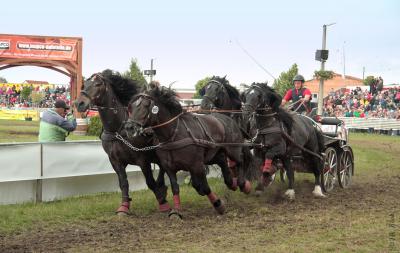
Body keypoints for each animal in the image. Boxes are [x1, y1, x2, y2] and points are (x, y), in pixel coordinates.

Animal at [74, 70, 170, 214]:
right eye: (84, 84)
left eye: (97, 84)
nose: (79, 103)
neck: (118, 130)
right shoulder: (115, 161)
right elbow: (123, 183)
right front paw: (124, 206)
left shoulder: (143, 160)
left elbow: (150, 183)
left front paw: (163, 204)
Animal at [125, 84, 250, 217]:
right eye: (131, 107)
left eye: (145, 105)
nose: (129, 127)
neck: (173, 135)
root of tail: (227, 118)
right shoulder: (169, 168)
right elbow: (176, 188)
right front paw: (176, 211)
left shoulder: (197, 165)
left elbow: (205, 187)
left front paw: (218, 204)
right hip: (213, 155)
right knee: (222, 161)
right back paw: (232, 183)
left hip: (233, 149)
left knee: (240, 160)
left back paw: (243, 184)